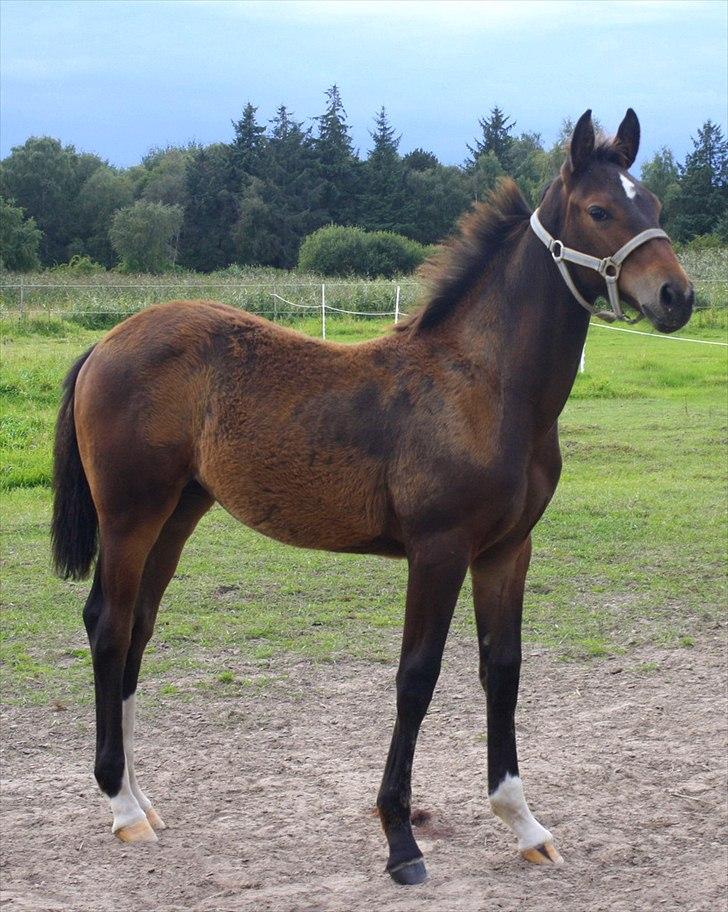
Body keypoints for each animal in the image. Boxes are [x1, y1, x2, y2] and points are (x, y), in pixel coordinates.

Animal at [52, 107, 692, 884]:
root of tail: (107, 342)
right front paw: (400, 841)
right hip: (129, 516)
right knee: (110, 627)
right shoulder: (439, 549)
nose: (678, 297)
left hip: (177, 514)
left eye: (652, 203)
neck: (486, 387)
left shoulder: (508, 550)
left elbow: (502, 669)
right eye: (600, 209)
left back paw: (141, 799)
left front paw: (524, 823)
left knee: (138, 629)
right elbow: (417, 678)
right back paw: (120, 805)